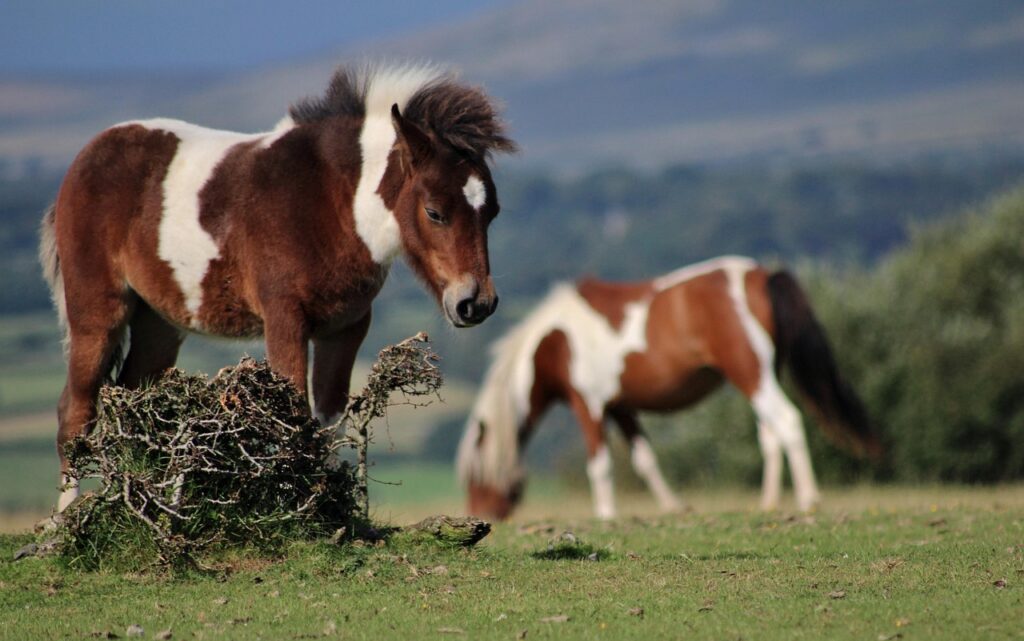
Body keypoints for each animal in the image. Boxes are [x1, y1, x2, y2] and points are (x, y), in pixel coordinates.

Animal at [39, 62, 516, 511]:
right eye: (434, 212)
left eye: (493, 212)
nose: (476, 303)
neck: (331, 203)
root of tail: (83, 160)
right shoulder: (285, 319)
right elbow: (293, 415)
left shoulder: (345, 327)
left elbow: (327, 421)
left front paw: (333, 510)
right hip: (97, 313)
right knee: (76, 411)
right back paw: (67, 519)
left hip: (159, 323)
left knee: (135, 402)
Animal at [458, 254, 880, 520]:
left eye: (474, 476)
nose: (481, 515)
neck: (556, 340)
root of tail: (761, 276)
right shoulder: (621, 406)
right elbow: (645, 460)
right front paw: (675, 507)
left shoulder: (588, 404)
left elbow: (600, 464)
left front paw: (605, 515)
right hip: (761, 375)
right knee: (770, 434)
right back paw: (769, 504)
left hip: (751, 374)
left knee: (788, 421)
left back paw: (808, 499)